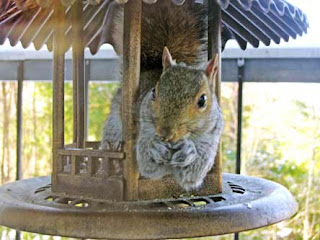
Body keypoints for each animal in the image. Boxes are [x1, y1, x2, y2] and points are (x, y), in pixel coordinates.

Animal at [101, 0, 224, 191]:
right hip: (116, 118)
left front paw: (189, 150)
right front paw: (156, 146)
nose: (165, 132)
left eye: (203, 100)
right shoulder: (144, 129)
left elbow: (194, 171)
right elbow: (146, 163)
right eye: (154, 92)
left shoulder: (210, 139)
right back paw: (114, 154)